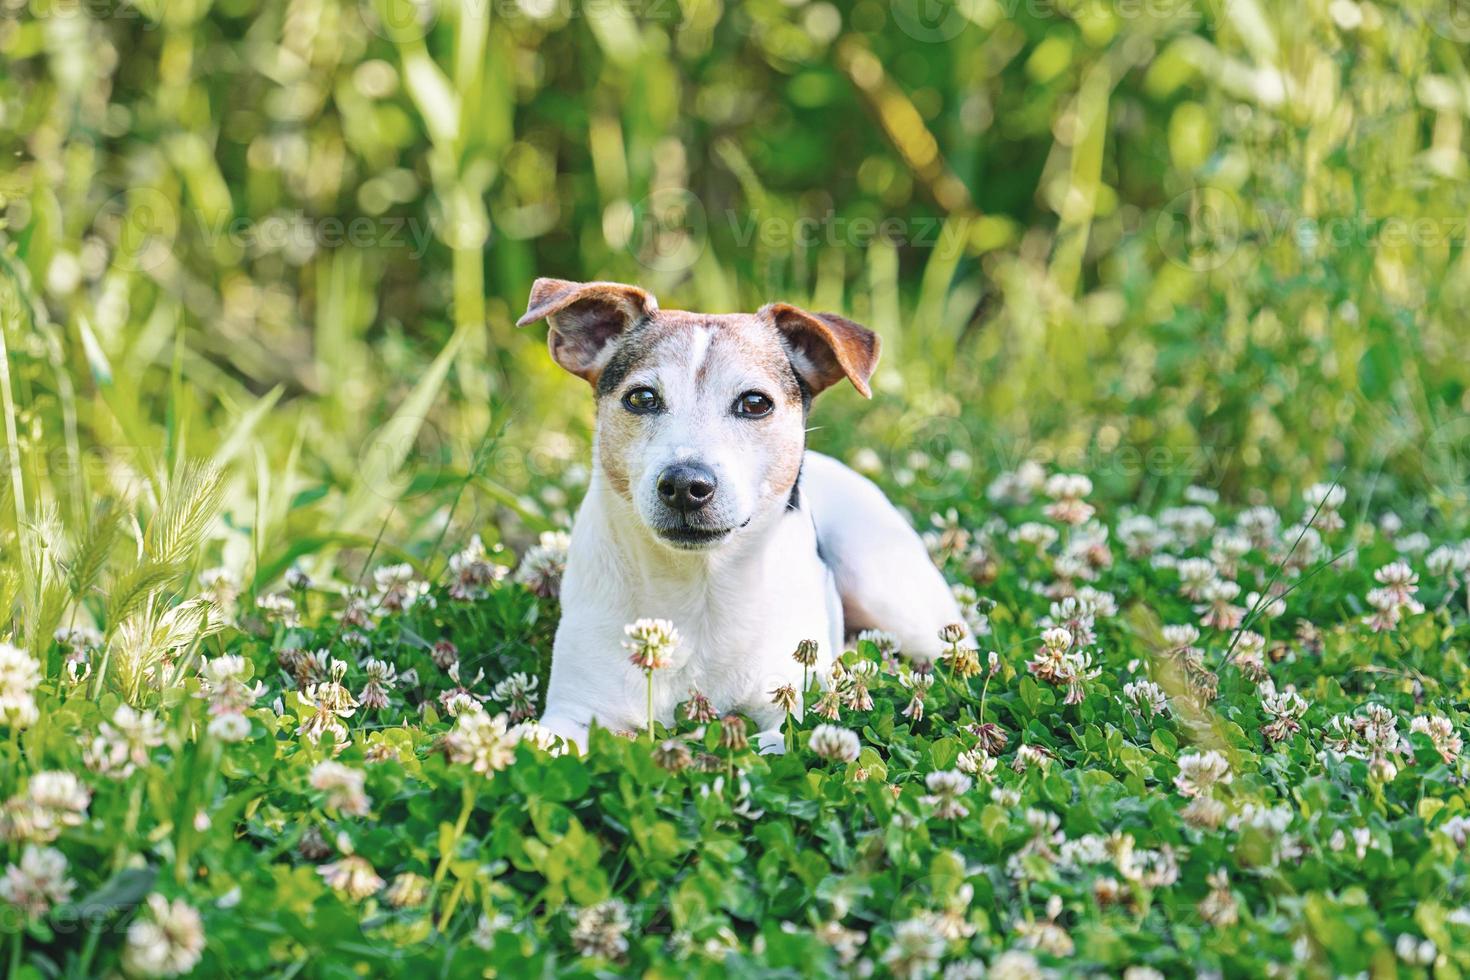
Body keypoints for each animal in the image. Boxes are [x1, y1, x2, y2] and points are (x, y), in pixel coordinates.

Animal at [517, 276, 964, 752]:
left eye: (754, 403)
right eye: (642, 397)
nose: (685, 485)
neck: (697, 586)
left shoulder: (792, 713)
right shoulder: (574, 712)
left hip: (885, 584)